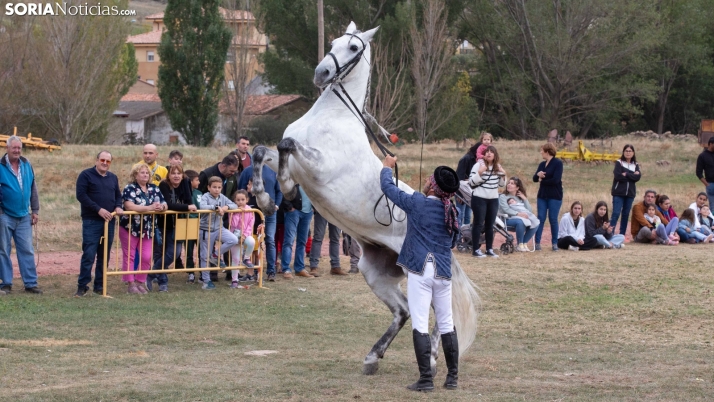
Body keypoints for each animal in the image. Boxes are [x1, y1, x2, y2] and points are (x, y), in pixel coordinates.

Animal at [251, 22, 480, 376]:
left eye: (354, 48)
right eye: (333, 42)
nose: (321, 72)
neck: (331, 117)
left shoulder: (319, 169)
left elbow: (287, 145)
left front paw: (287, 190)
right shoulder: (293, 161)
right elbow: (263, 151)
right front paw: (265, 199)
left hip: (421, 274)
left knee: (435, 310)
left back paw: (430, 358)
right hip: (374, 273)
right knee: (404, 312)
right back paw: (373, 357)